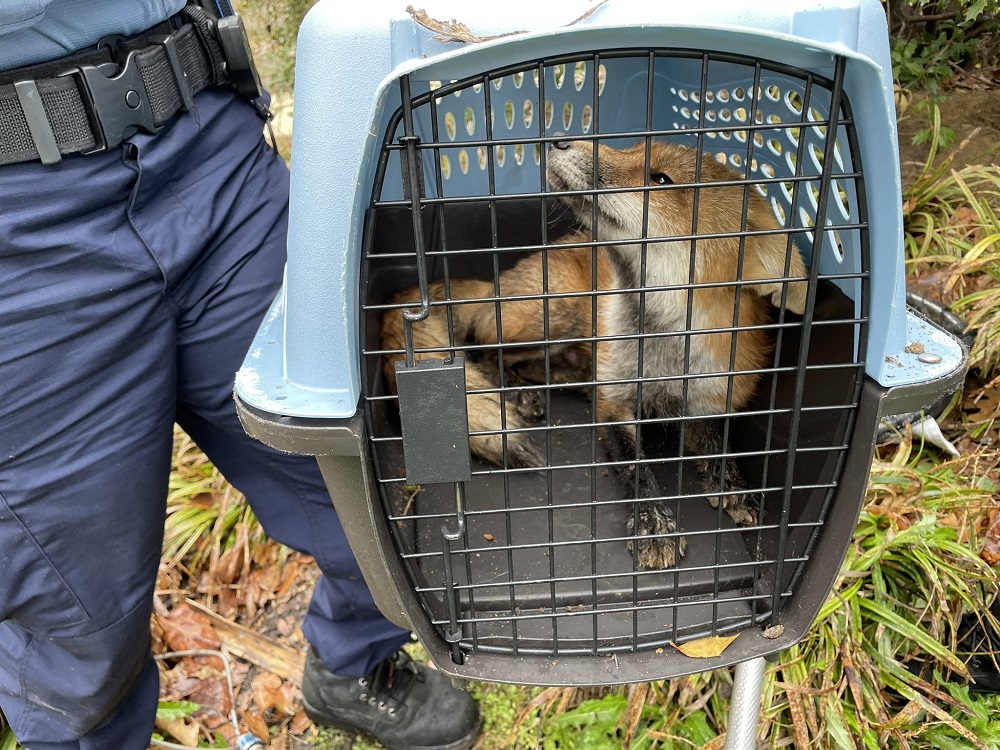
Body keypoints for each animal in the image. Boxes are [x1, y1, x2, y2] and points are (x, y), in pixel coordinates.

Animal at [381, 139, 808, 569]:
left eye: (661, 179)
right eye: (632, 146)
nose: (559, 139)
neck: (662, 356)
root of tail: (497, 284)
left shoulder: (708, 398)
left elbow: (720, 446)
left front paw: (734, 485)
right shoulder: (615, 405)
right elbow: (637, 467)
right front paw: (653, 522)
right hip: (556, 314)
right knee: (487, 352)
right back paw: (521, 394)